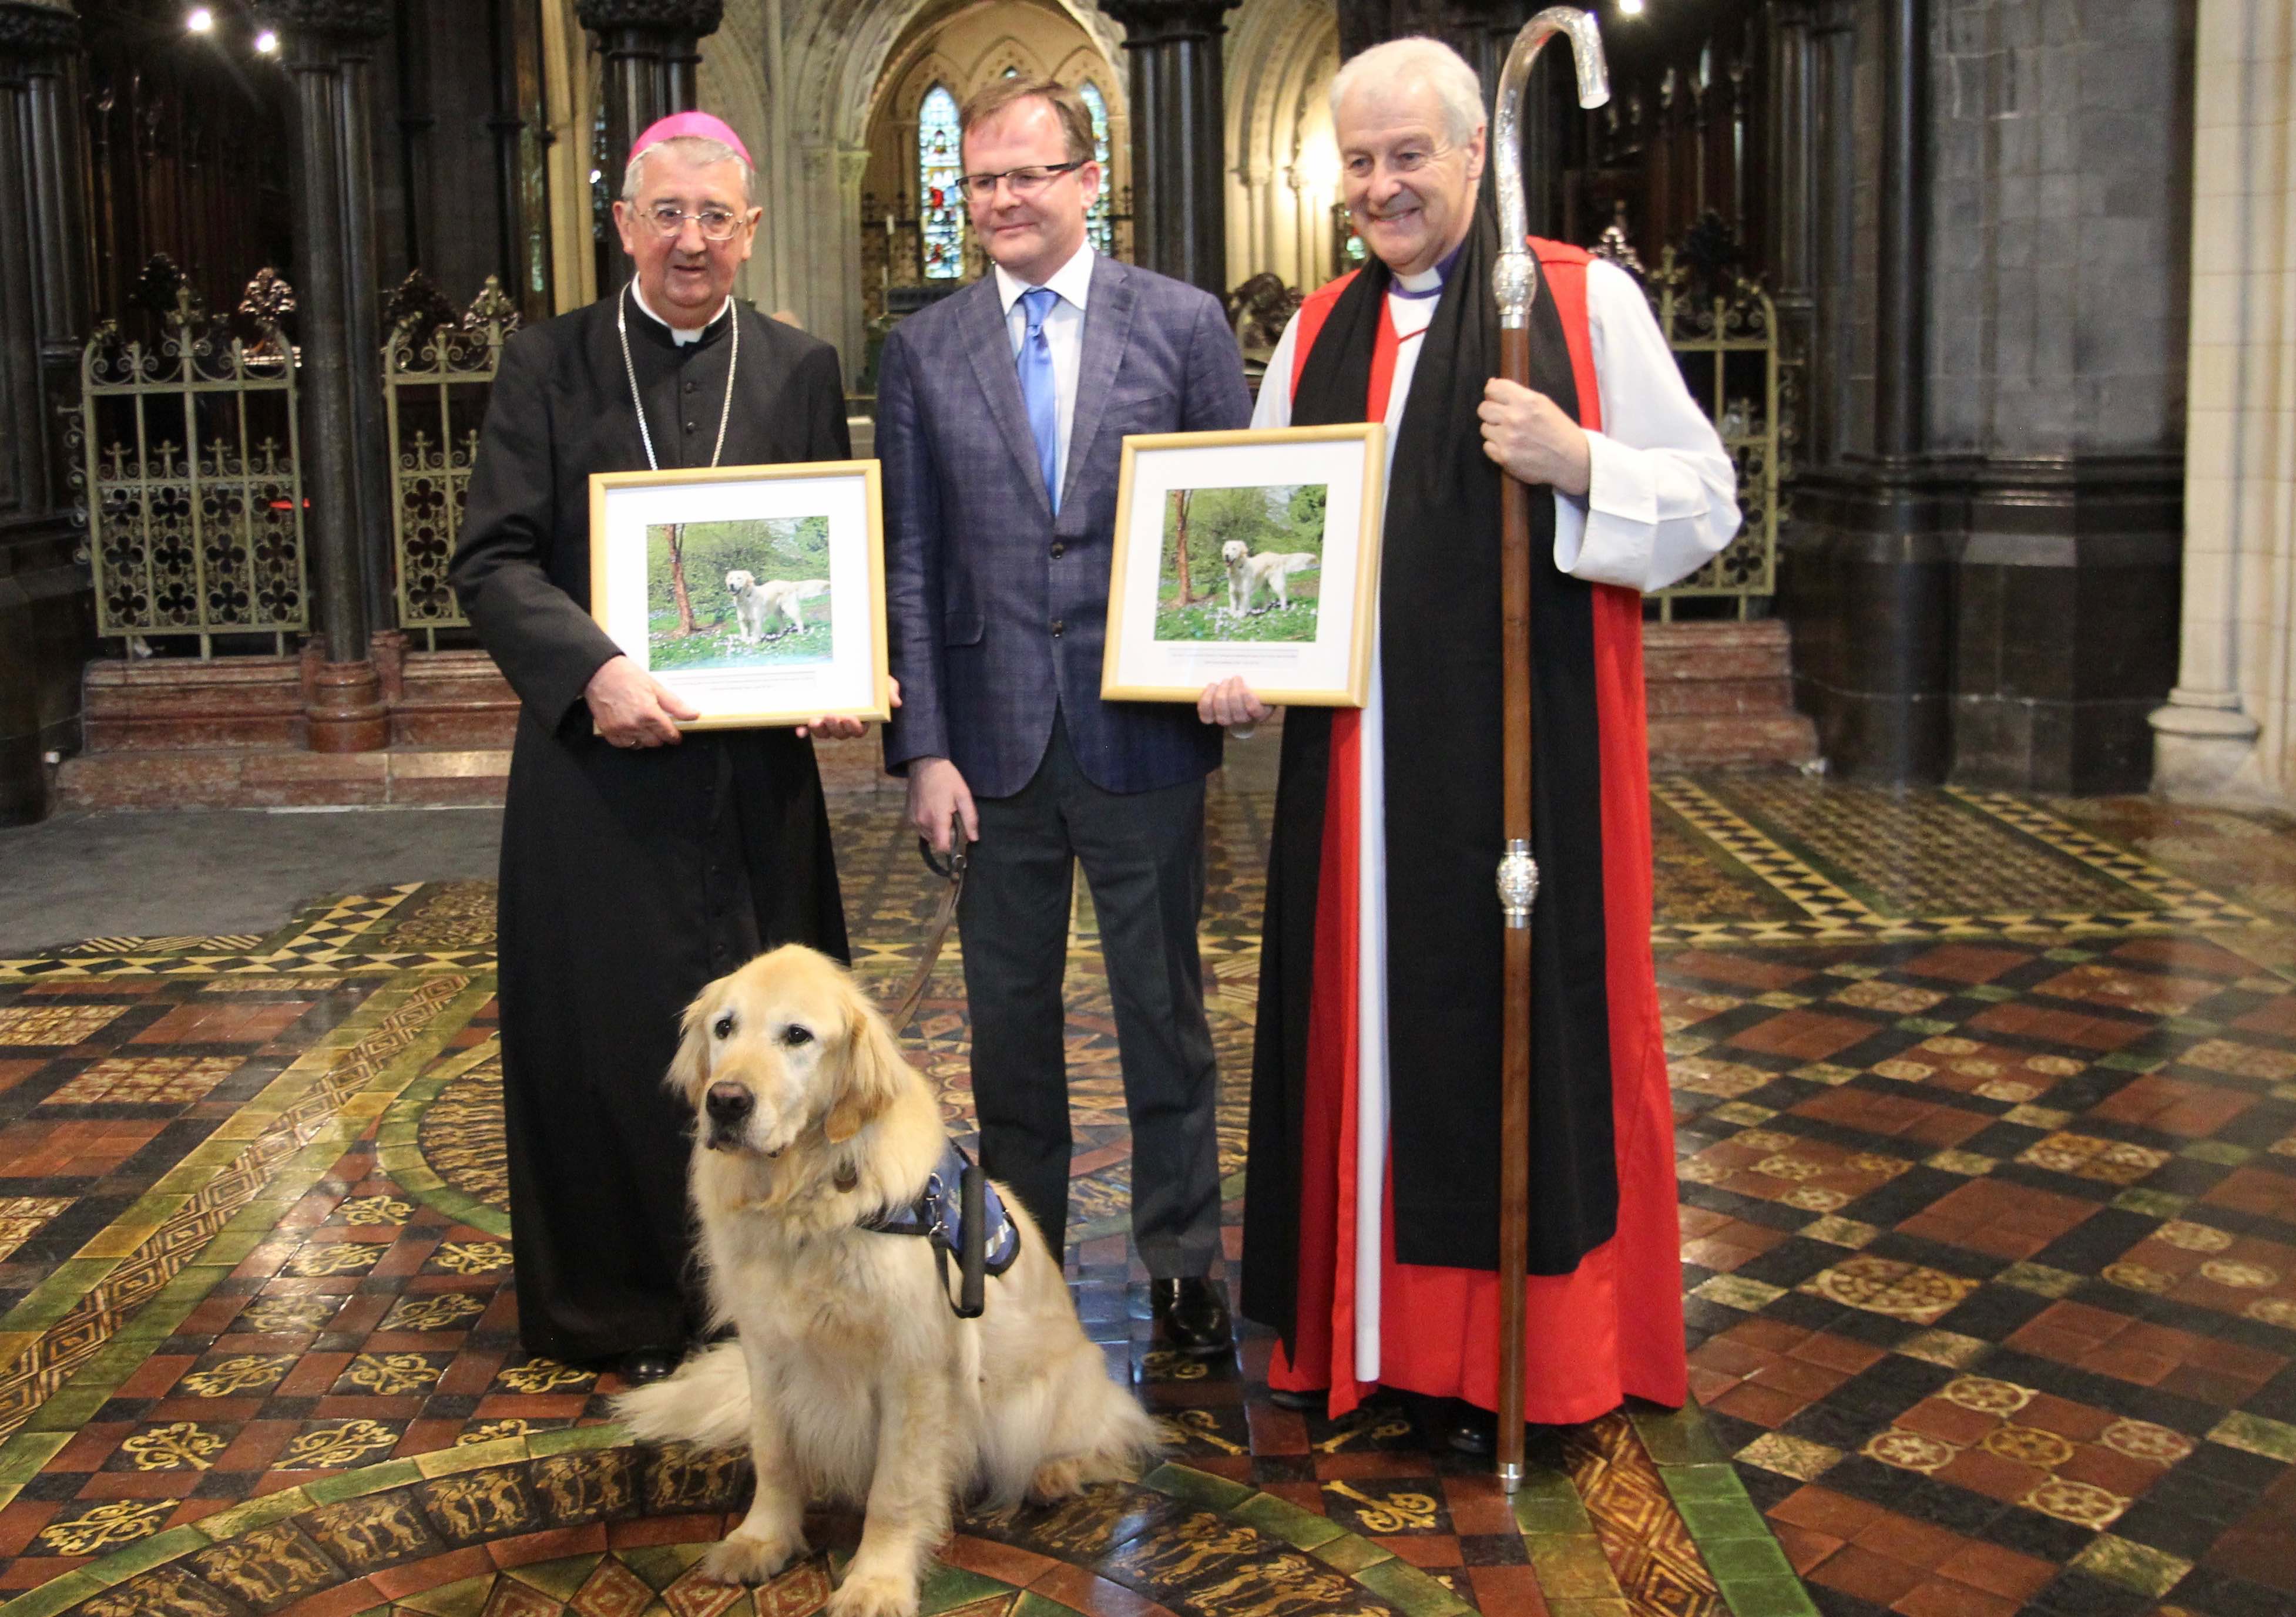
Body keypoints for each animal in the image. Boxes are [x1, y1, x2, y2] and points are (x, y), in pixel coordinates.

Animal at [620, 946, 1157, 1617]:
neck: (808, 1190)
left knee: (1111, 1430)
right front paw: (761, 1539)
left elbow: (895, 1491)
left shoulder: (915, 1367)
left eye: (797, 1035)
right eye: (724, 1027)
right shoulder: (767, 1348)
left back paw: (1054, 1474)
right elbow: (774, 1454)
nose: (725, 1101)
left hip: (1050, 1392)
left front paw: (876, 1582)